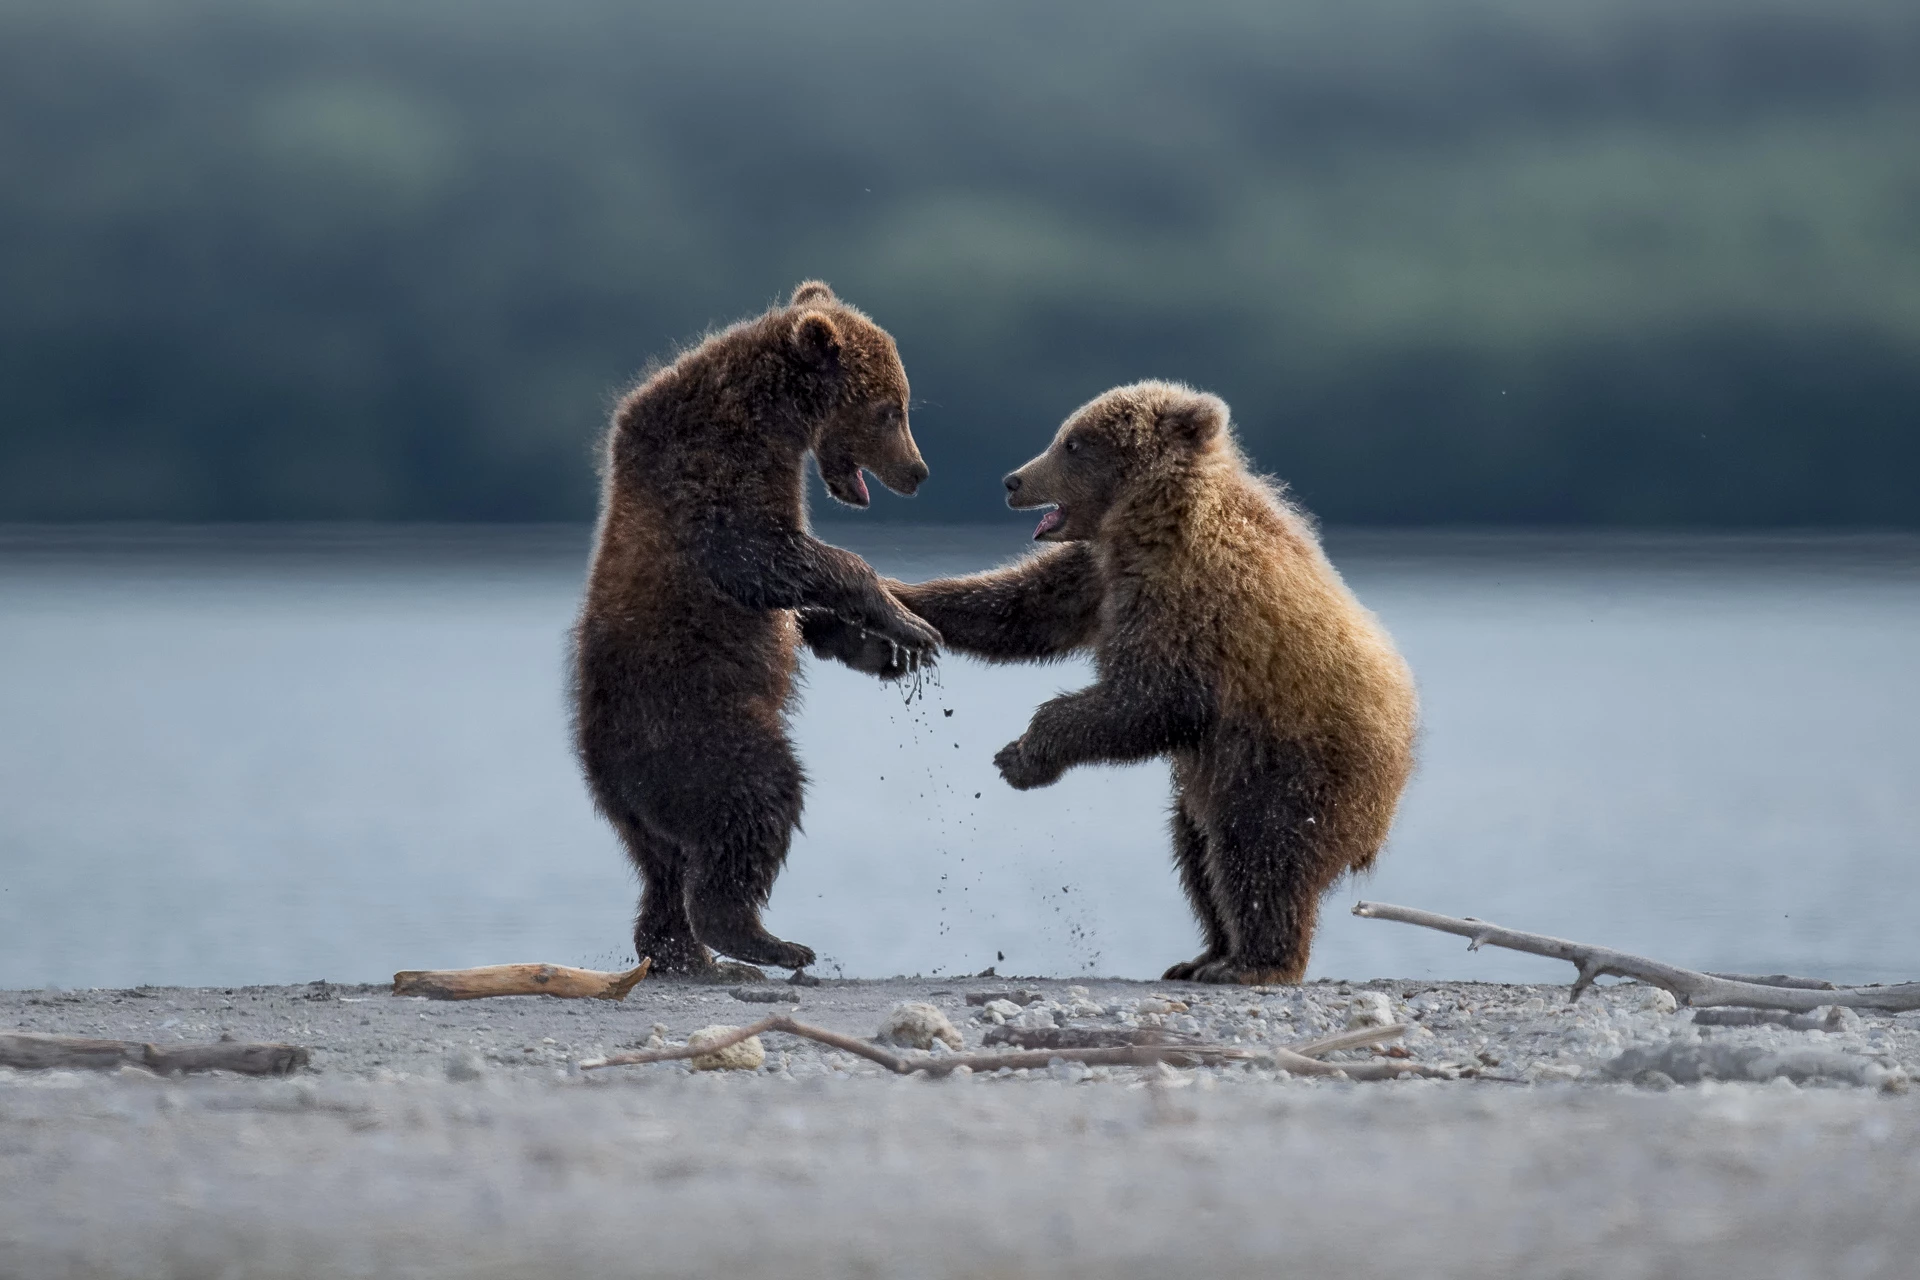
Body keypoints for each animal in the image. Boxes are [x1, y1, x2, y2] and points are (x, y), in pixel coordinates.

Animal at [572, 281, 942, 977]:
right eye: (891, 410)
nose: (919, 472)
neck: (771, 419)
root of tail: (607, 772)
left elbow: (797, 604)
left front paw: (881, 648)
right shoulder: (711, 478)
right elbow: (772, 558)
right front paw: (909, 623)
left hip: (640, 808)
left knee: (663, 868)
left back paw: (687, 953)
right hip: (701, 731)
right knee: (756, 802)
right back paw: (765, 940)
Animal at [811, 380, 1417, 984]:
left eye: (1073, 444)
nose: (1013, 481)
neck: (1146, 522)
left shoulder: (1188, 601)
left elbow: (1150, 700)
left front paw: (1023, 755)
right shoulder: (1098, 573)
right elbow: (1018, 608)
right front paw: (871, 607)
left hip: (1290, 765)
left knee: (1260, 854)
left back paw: (1253, 962)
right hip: (1220, 777)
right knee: (1196, 850)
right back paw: (1204, 955)